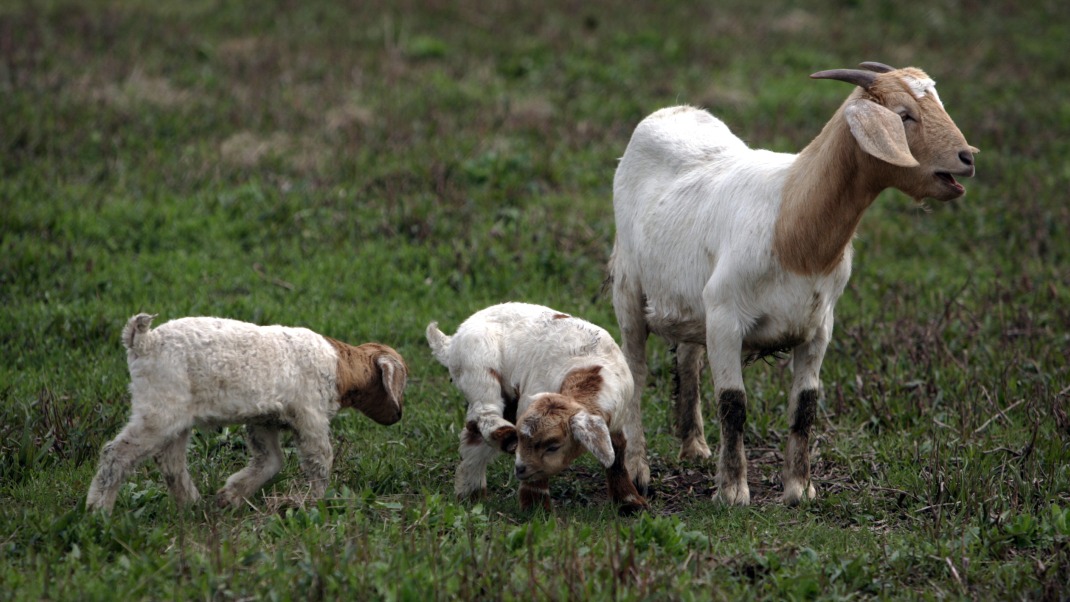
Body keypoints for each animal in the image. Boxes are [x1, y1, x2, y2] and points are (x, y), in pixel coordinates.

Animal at [84, 314, 404, 515]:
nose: (398, 418)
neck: (339, 367)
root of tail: (142, 341)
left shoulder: (264, 420)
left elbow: (270, 461)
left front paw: (231, 495)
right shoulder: (310, 415)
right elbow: (320, 461)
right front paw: (316, 503)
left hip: (176, 414)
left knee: (170, 461)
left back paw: (193, 505)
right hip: (159, 409)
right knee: (116, 454)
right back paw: (98, 511)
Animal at [423, 303, 642, 515]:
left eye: (553, 446)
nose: (519, 469)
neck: (590, 370)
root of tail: (451, 342)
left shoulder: (614, 421)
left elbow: (617, 453)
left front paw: (630, 503)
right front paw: (536, 510)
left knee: (472, 434)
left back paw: (471, 494)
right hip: (478, 364)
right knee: (485, 412)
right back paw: (504, 437)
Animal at [612, 62, 980, 504]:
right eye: (904, 114)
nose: (967, 158)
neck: (792, 219)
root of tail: (672, 110)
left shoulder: (818, 325)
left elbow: (805, 407)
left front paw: (799, 489)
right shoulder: (725, 318)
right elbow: (733, 405)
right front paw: (732, 492)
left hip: (689, 301)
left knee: (687, 357)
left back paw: (694, 447)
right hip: (629, 288)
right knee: (635, 370)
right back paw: (638, 470)